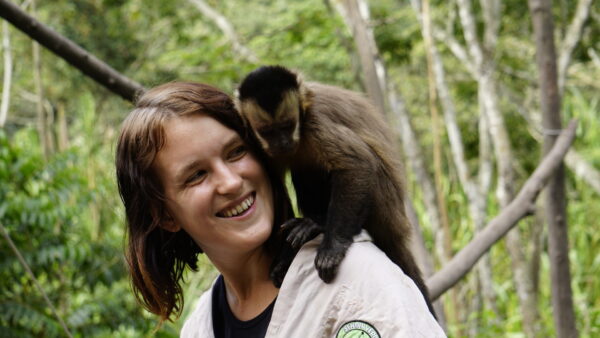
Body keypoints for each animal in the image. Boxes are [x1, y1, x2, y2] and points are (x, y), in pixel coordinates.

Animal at [236, 66, 436, 316]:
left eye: (287, 126)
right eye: (267, 131)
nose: (282, 143)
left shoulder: (316, 121)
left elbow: (358, 165)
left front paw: (332, 246)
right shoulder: (255, 142)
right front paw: (285, 256)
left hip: (386, 207)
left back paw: (318, 224)